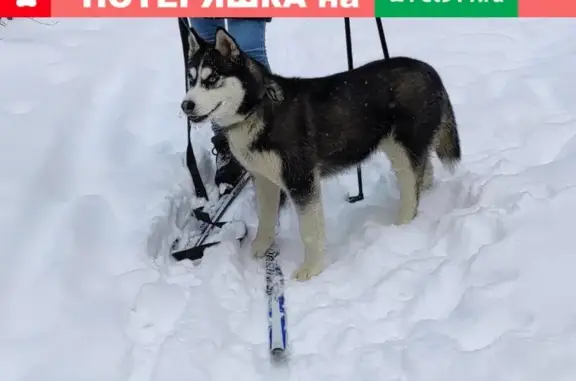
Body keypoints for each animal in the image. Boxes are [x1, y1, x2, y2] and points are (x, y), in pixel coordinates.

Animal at [182, 26, 462, 280]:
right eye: (191, 79)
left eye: (212, 79)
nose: (186, 105)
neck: (257, 108)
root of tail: (430, 70)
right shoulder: (263, 179)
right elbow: (266, 217)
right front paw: (261, 247)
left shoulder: (301, 180)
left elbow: (309, 230)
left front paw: (311, 268)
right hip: (395, 146)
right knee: (422, 171)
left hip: (404, 147)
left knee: (412, 186)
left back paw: (403, 224)